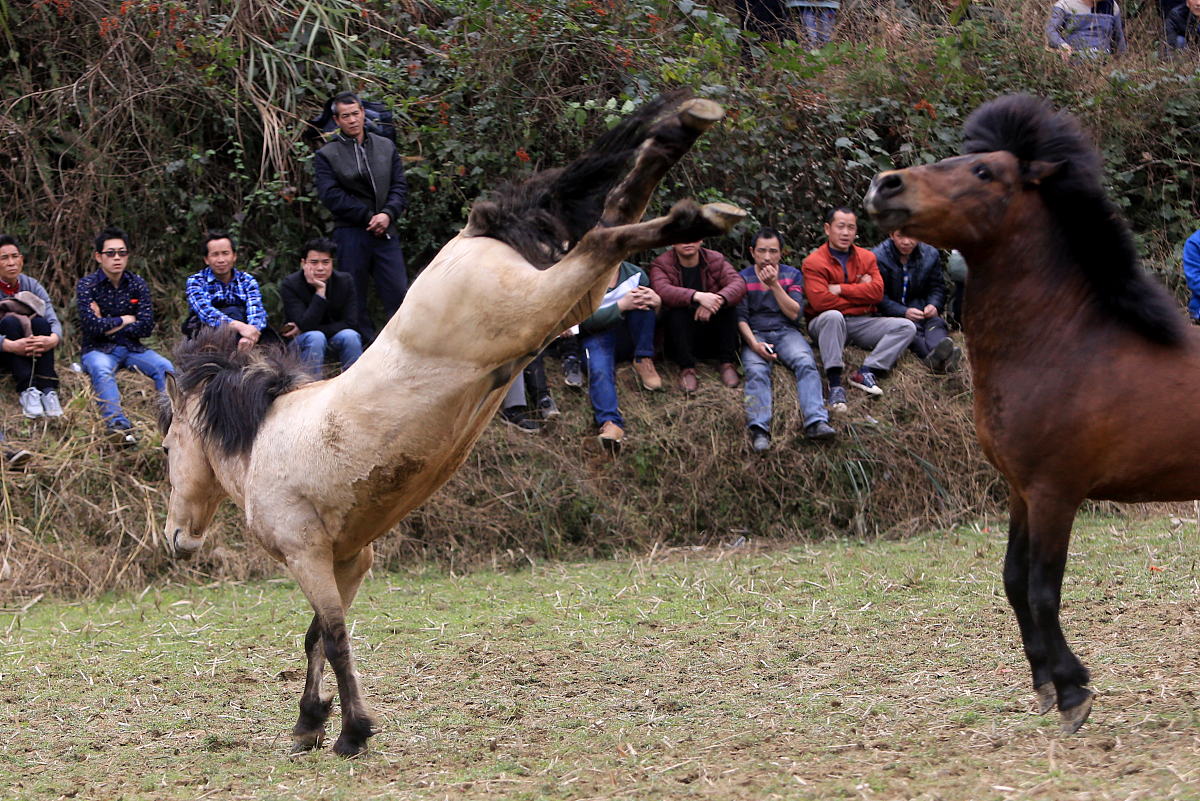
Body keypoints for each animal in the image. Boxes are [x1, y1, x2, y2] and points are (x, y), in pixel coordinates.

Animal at [158, 93, 746, 756]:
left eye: (166, 447)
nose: (176, 539)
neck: (261, 440)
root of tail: (473, 231)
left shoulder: (309, 556)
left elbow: (332, 638)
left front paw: (350, 731)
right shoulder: (347, 559)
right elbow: (317, 638)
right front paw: (311, 722)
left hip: (535, 308)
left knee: (600, 237)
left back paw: (699, 207)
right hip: (567, 303)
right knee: (614, 215)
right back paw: (683, 138)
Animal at [863, 94, 1196, 734]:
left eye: (984, 172)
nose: (885, 184)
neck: (1062, 344)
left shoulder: (1054, 492)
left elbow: (1044, 588)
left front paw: (1072, 691)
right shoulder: (1019, 489)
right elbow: (1015, 581)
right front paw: (1044, 683)